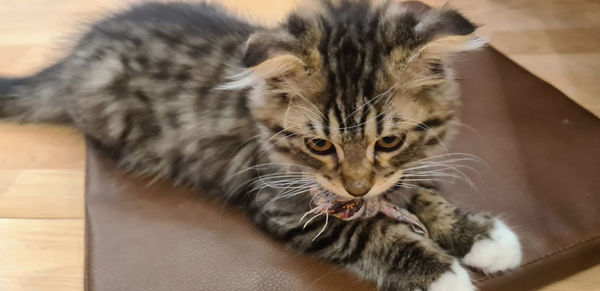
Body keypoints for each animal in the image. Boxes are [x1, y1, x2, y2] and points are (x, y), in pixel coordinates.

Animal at [0, 1, 520, 290]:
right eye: (319, 145)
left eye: (389, 140)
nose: (355, 189)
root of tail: (76, 55)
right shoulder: (286, 206)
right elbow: (370, 231)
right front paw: (443, 276)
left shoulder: (392, 176)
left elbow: (421, 196)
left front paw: (484, 238)